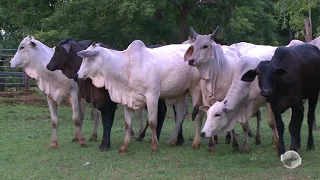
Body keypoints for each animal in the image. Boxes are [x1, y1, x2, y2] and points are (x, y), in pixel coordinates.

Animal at [46, 38, 184, 150]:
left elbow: (107, 121)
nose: (48, 66)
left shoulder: (109, 103)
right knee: (168, 111)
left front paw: (105, 144)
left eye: (59, 50)